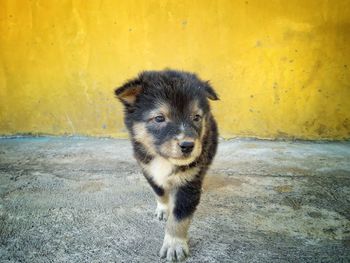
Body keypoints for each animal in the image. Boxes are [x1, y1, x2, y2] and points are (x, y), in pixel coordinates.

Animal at [115, 69, 219, 262]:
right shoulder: (148, 170)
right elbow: (160, 192)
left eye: (196, 117)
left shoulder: (188, 183)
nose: (188, 145)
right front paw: (163, 210)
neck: (164, 160)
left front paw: (174, 245)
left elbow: (179, 218)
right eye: (159, 118)